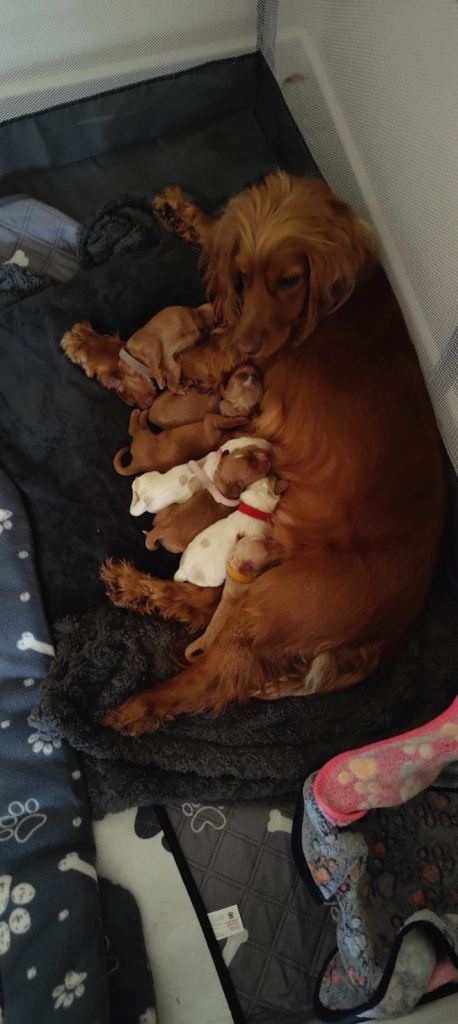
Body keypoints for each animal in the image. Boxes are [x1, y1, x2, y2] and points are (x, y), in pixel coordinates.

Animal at [61, 304, 213, 408]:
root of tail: (195, 310)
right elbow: (171, 381)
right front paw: (180, 386)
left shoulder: (152, 345)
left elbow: (155, 365)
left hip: (205, 308)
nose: (139, 407)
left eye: (119, 387)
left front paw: (161, 380)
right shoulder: (172, 365)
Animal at [101, 172, 445, 734]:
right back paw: (135, 588)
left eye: (289, 281)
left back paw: (136, 707)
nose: (249, 347)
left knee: (211, 673)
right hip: (256, 571)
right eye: (243, 279)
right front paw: (183, 212)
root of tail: (386, 640)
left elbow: (186, 357)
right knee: (206, 607)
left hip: (278, 600)